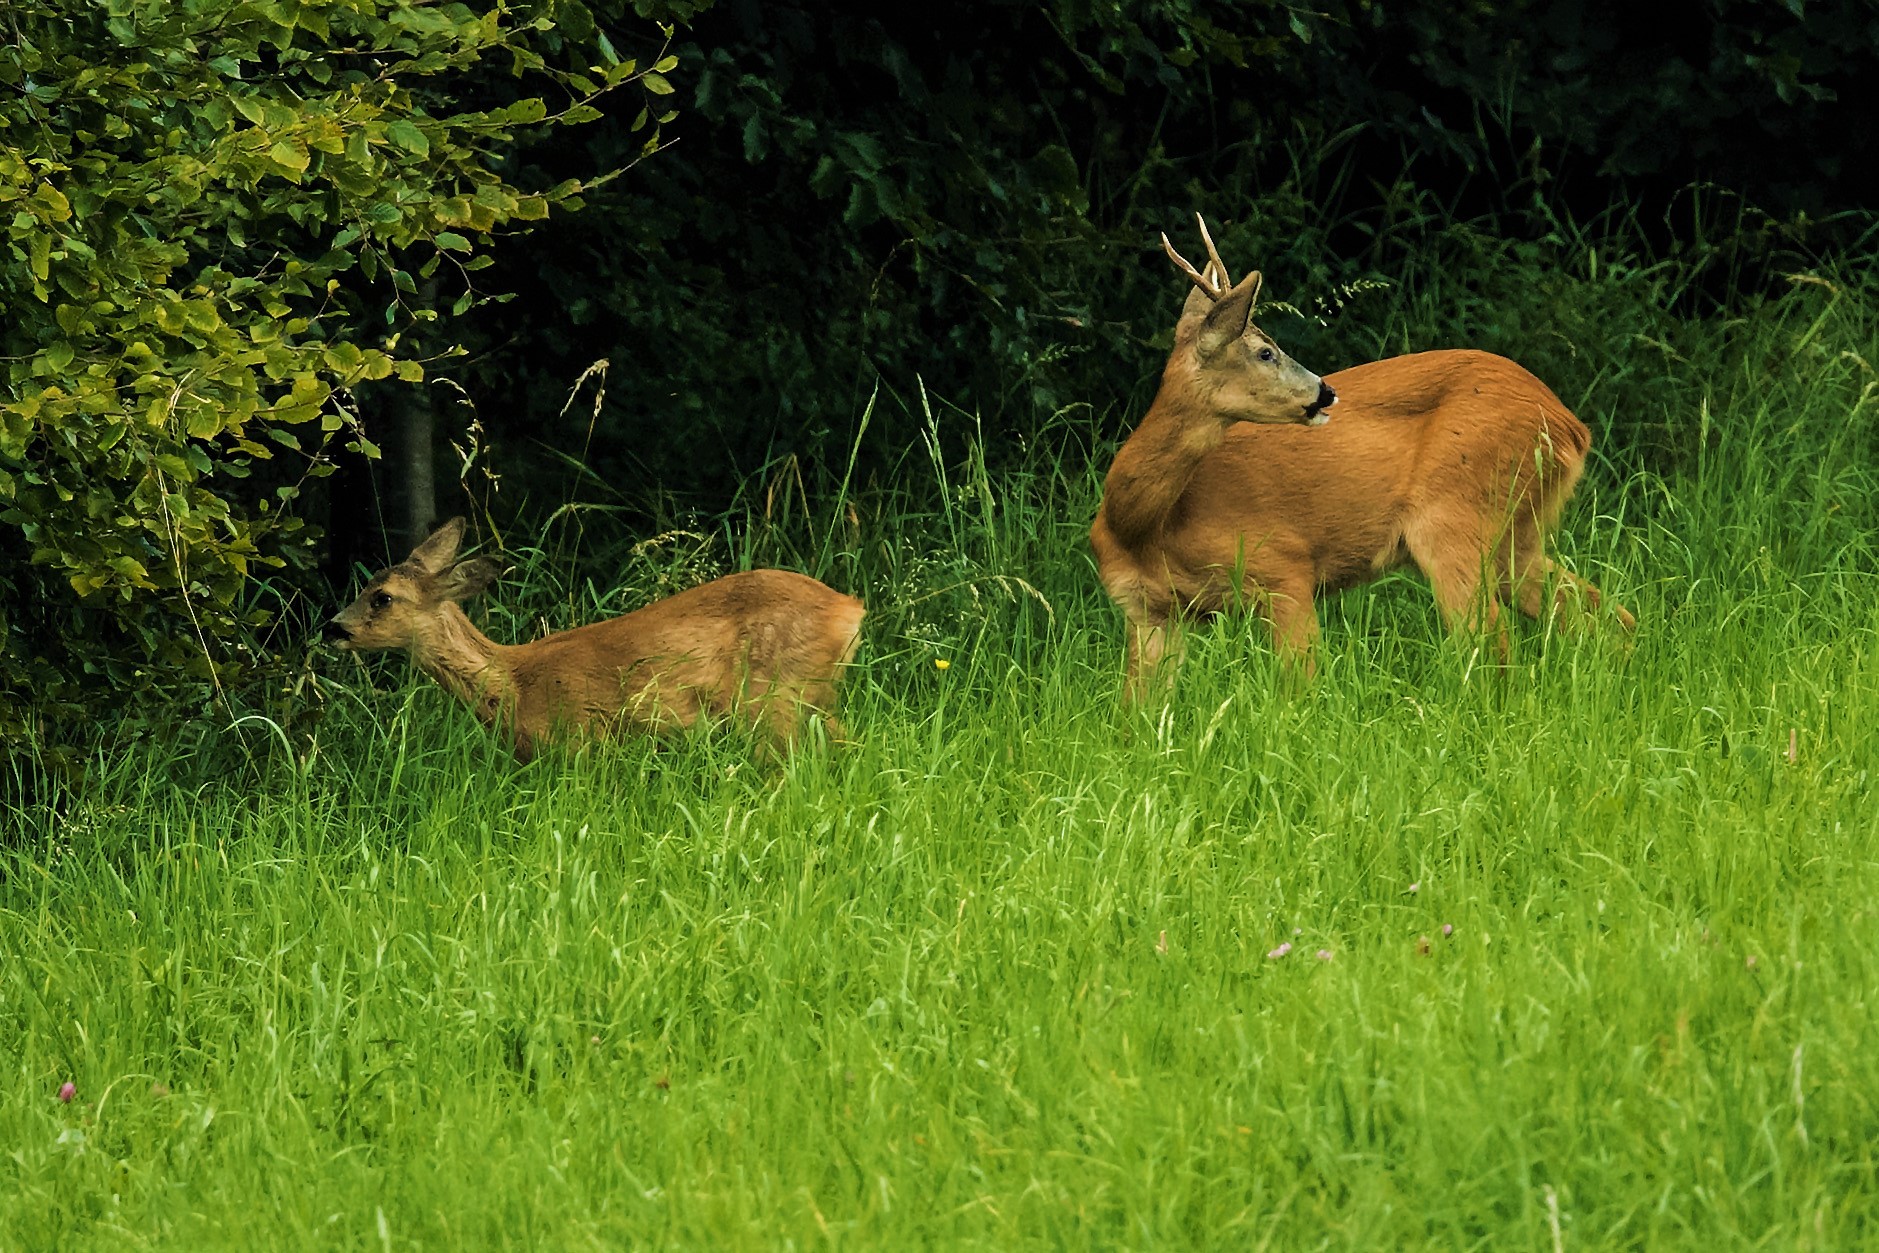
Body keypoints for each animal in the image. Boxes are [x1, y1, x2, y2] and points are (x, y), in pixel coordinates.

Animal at [323, 518, 866, 761]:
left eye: (382, 598)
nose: (333, 628)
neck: (513, 685)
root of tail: (850, 609)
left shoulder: (583, 740)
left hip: (777, 696)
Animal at [1090, 216, 1635, 704]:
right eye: (1266, 352)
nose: (1326, 391)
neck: (1148, 526)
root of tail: (1571, 425)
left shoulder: (1282, 566)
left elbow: (1302, 689)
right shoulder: (1146, 611)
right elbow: (1135, 716)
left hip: (1454, 515)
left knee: (1493, 644)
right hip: (1514, 534)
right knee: (1605, 613)